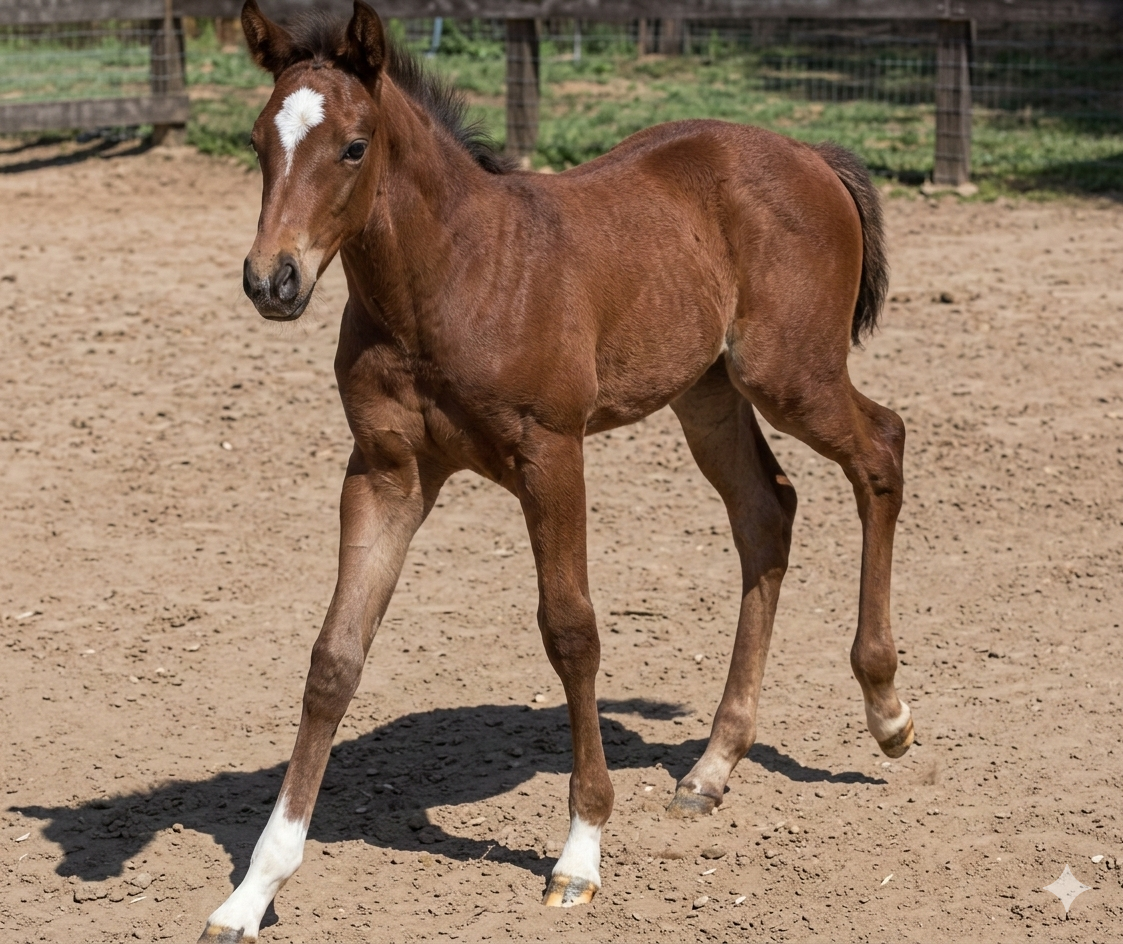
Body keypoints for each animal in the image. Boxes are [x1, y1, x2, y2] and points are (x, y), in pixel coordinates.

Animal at [199, 2, 913, 939]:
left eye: (353, 147)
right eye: (257, 141)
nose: (271, 280)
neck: (447, 280)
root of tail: (807, 153)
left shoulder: (551, 454)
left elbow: (571, 633)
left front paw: (580, 854)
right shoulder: (386, 474)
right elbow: (334, 657)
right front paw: (253, 890)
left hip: (789, 374)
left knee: (881, 449)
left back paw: (887, 710)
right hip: (707, 391)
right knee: (768, 510)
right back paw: (712, 767)